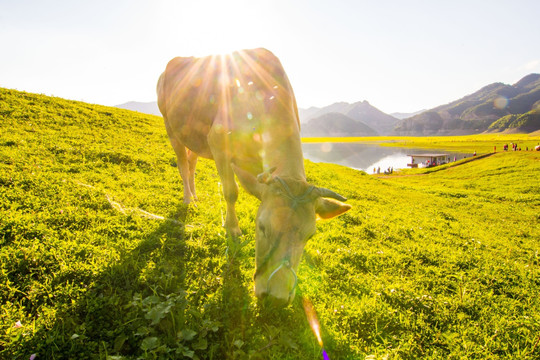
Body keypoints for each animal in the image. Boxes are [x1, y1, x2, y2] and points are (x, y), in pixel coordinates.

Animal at [157, 47, 350, 306]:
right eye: (262, 227)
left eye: (310, 235)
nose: (277, 298)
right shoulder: (218, 142)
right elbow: (231, 191)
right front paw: (233, 229)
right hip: (171, 126)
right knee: (181, 163)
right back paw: (188, 198)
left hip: (193, 135)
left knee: (191, 162)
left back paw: (196, 197)